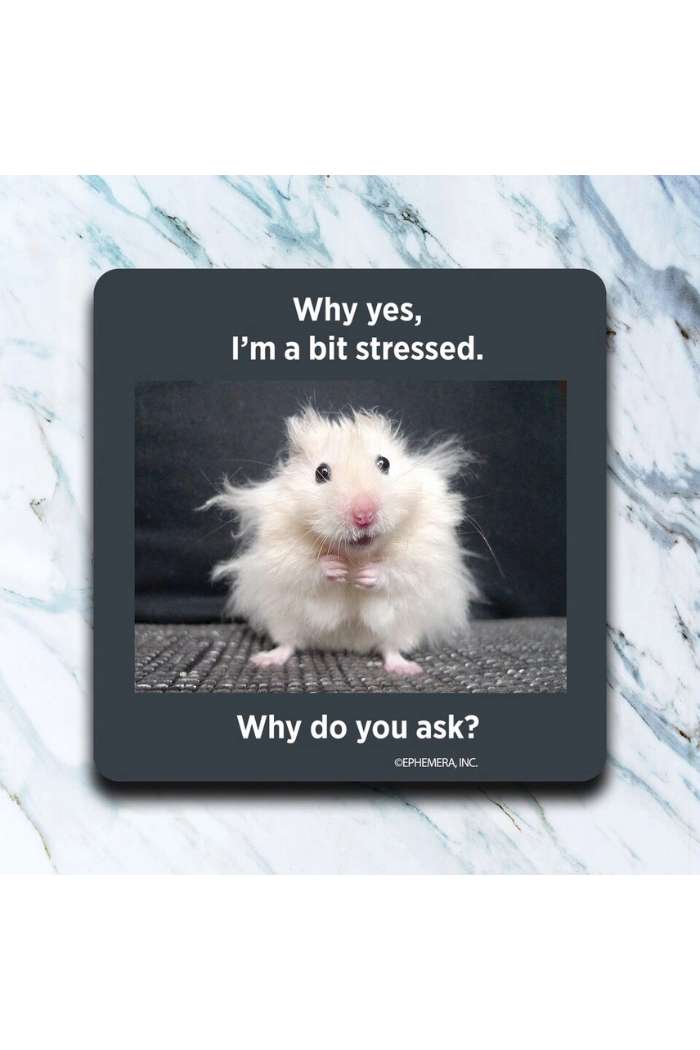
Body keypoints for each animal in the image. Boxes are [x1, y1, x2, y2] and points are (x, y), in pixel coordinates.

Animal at [205, 408, 477, 676]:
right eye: (321, 473)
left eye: (384, 463)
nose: (364, 515)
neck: (355, 556)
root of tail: (346, 643)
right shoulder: (279, 546)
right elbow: (302, 567)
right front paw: (336, 568)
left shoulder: (425, 547)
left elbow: (399, 567)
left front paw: (365, 575)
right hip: (282, 616)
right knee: (288, 642)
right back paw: (266, 660)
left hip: (404, 624)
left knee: (391, 647)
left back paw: (407, 668)